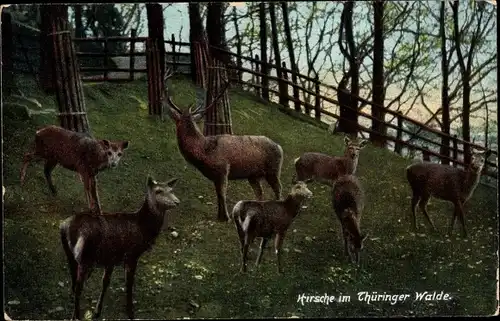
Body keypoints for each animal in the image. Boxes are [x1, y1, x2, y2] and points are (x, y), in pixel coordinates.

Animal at [59, 175, 180, 320]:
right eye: (158, 191)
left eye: (172, 190)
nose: (177, 201)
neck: (143, 229)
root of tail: (63, 226)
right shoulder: (132, 255)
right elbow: (129, 284)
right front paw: (130, 313)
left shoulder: (111, 259)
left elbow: (105, 282)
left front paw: (97, 312)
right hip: (84, 257)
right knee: (78, 287)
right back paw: (76, 316)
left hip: (70, 255)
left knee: (73, 284)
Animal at [163, 68, 284, 221]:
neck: (204, 151)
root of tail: (280, 147)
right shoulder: (216, 176)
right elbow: (218, 194)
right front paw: (219, 216)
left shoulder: (223, 170)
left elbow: (222, 194)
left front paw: (226, 217)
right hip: (253, 175)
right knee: (260, 191)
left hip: (273, 169)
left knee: (278, 188)